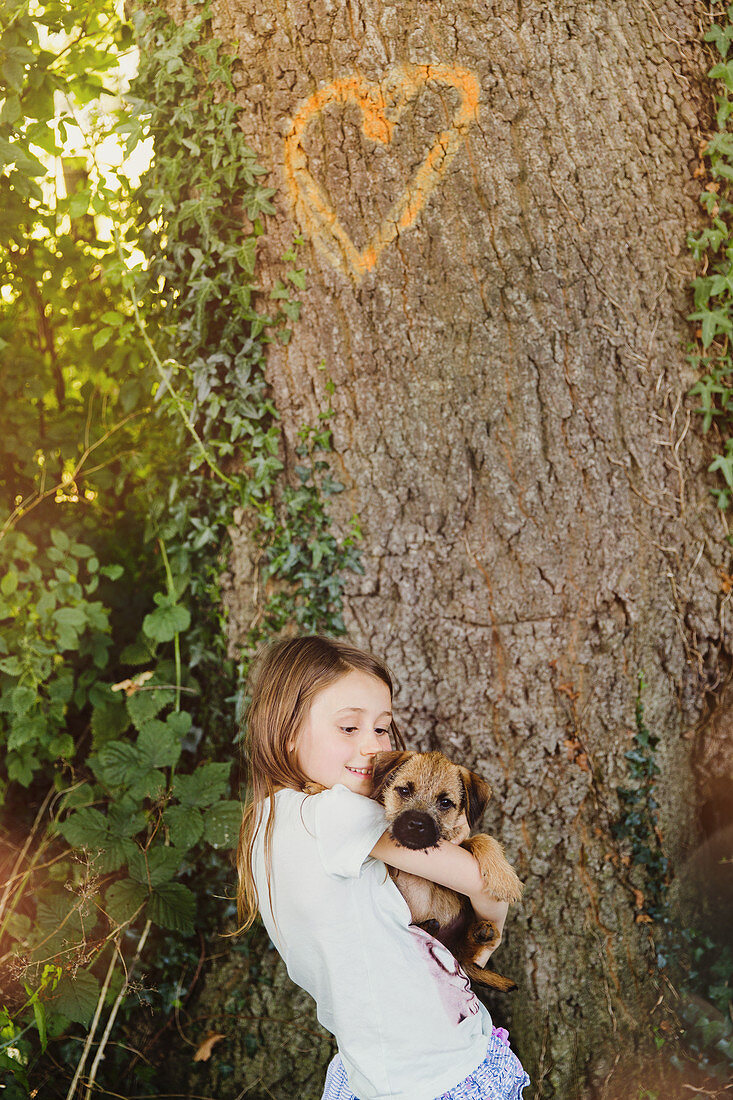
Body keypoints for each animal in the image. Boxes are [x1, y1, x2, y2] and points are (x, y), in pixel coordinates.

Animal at [372, 752, 519, 994]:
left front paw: (504, 879)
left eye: (445, 803)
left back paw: (480, 934)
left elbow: (482, 838)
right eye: (404, 791)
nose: (416, 824)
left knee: (462, 953)